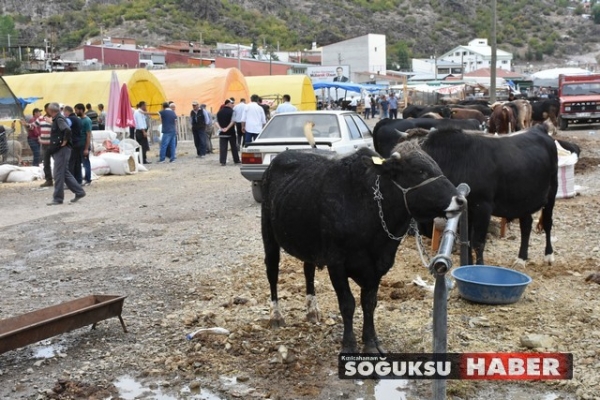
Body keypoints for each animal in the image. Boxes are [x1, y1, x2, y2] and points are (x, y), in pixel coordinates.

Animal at [262, 143, 464, 354]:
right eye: (420, 171)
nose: (461, 200)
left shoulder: (379, 265)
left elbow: (369, 303)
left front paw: (370, 342)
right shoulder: (336, 262)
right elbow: (347, 304)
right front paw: (349, 344)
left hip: (309, 244)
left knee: (308, 270)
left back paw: (312, 310)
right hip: (268, 233)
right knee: (272, 272)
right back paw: (276, 316)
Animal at [372, 125, 560, 268]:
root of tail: (539, 129)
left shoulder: (483, 207)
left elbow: (478, 242)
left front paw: (479, 268)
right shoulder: (466, 208)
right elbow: (467, 240)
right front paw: (467, 265)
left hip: (552, 192)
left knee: (548, 223)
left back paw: (549, 256)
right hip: (523, 200)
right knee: (526, 225)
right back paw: (521, 259)